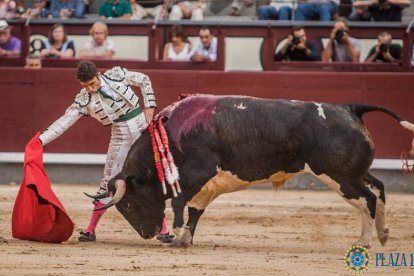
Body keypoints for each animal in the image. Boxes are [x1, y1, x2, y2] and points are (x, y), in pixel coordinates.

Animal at [94, 95, 414, 248]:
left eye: (128, 203)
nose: (147, 234)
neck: (172, 131)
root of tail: (350, 108)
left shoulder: (200, 169)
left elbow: (178, 201)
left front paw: (175, 233)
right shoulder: (207, 184)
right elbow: (195, 210)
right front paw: (184, 239)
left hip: (340, 176)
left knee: (367, 199)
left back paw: (364, 242)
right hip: (354, 173)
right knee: (379, 187)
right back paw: (383, 234)